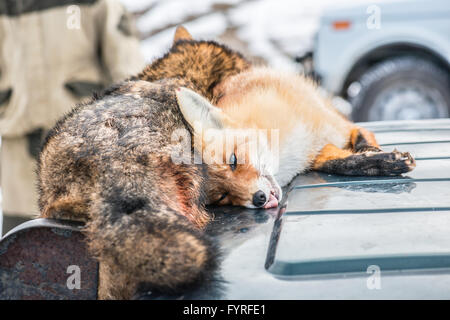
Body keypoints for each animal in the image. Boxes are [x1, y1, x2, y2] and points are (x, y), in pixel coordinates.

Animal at [37, 26, 414, 298]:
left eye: (234, 160)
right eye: (223, 198)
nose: (258, 199)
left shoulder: (330, 123)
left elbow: (354, 139)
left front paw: (377, 157)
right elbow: (336, 159)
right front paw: (375, 161)